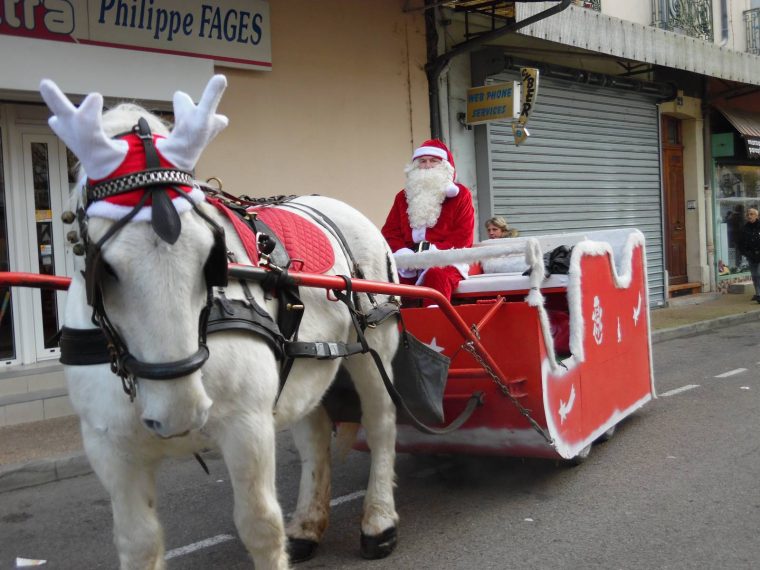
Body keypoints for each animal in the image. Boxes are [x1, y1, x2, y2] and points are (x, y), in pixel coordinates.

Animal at [42, 75, 400, 568]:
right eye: (104, 267)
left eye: (210, 255)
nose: (178, 411)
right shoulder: (110, 448)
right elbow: (138, 542)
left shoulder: (247, 425)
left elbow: (259, 526)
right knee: (314, 434)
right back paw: (307, 525)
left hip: (373, 348)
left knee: (381, 422)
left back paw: (379, 520)